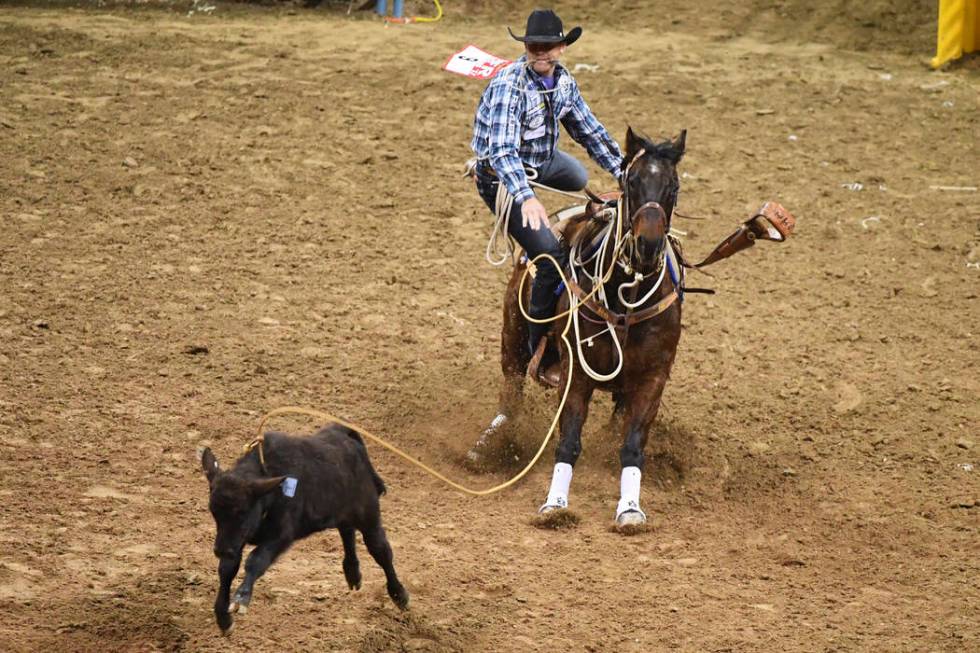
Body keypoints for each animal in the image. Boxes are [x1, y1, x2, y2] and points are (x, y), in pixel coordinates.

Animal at [470, 129, 684, 528]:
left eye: (673, 186)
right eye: (632, 182)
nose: (648, 245)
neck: (625, 299)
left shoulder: (653, 377)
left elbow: (632, 445)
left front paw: (630, 508)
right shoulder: (575, 373)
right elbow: (568, 441)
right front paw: (555, 504)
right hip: (513, 335)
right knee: (512, 391)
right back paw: (488, 444)